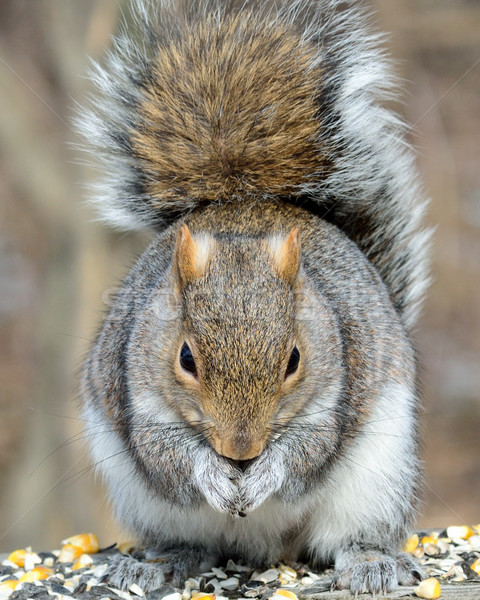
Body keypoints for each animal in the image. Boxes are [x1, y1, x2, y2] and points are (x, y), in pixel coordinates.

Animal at [78, 0, 432, 592]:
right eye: (186, 358)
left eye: (294, 359)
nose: (240, 452)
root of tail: (269, 550)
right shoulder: (137, 390)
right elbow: (166, 456)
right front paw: (211, 472)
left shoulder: (337, 385)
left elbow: (308, 453)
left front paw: (267, 472)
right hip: (150, 505)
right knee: (192, 542)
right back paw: (163, 561)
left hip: (376, 481)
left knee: (350, 536)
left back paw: (369, 562)